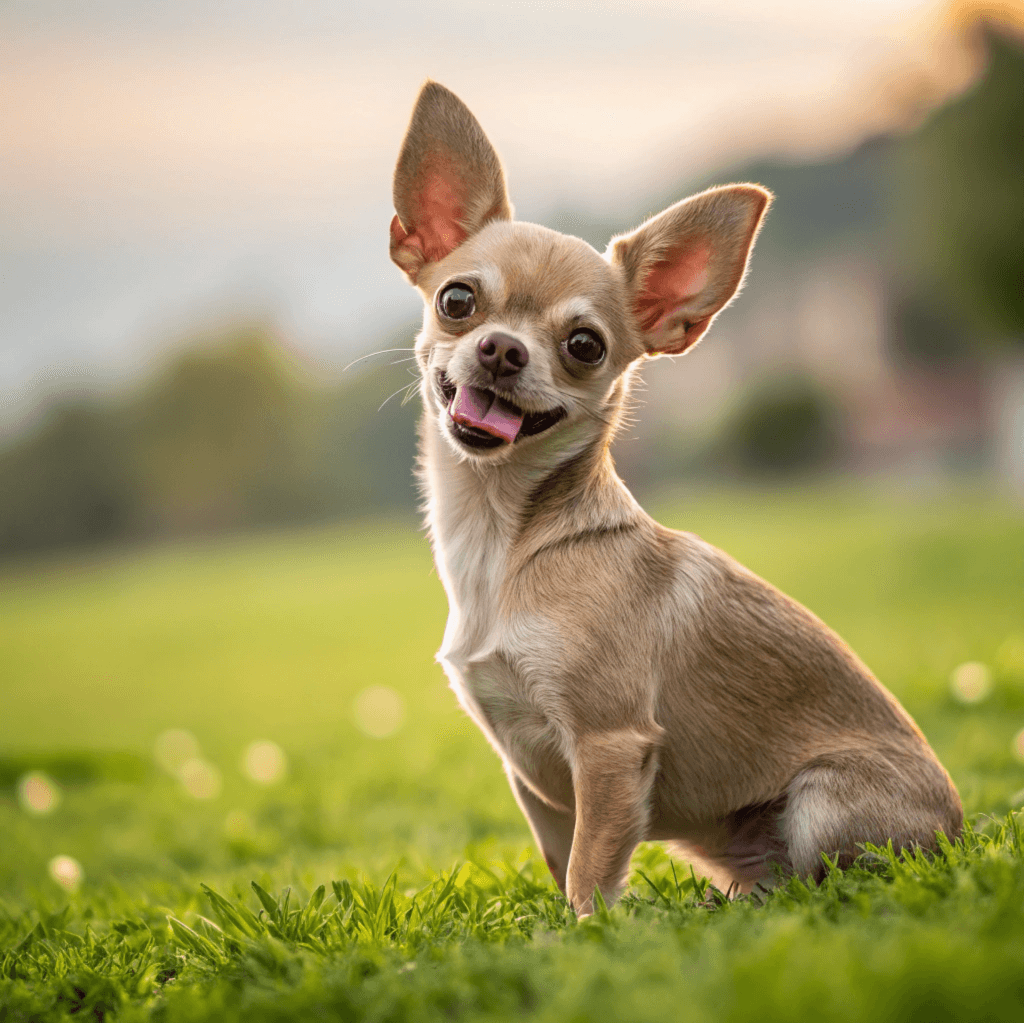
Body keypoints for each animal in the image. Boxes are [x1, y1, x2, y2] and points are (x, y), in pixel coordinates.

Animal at [387, 79, 962, 913]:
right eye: (457, 300)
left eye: (585, 345)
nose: (501, 348)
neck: (506, 542)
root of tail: (961, 829)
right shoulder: (534, 777)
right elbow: (560, 857)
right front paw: (556, 925)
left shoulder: (609, 747)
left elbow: (590, 869)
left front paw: (587, 932)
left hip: (822, 798)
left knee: (838, 875)